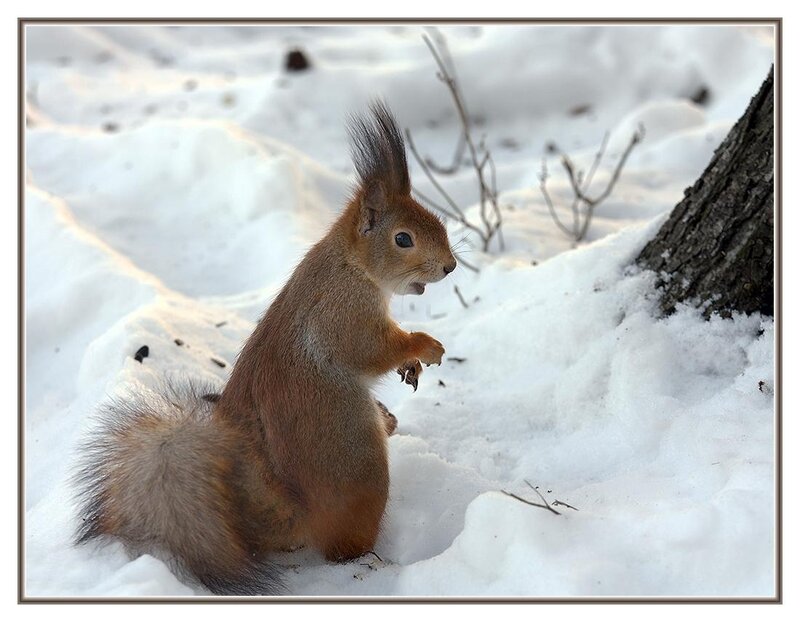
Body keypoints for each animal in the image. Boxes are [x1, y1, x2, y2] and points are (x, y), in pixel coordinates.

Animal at [74, 101, 457, 595]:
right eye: (403, 238)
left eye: (438, 221)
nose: (450, 266)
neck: (350, 265)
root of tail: (286, 512)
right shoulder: (342, 313)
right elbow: (368, 350)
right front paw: (424, 347)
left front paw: (413, 365)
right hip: (358, 467)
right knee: (342, 547)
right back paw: (375, 562)